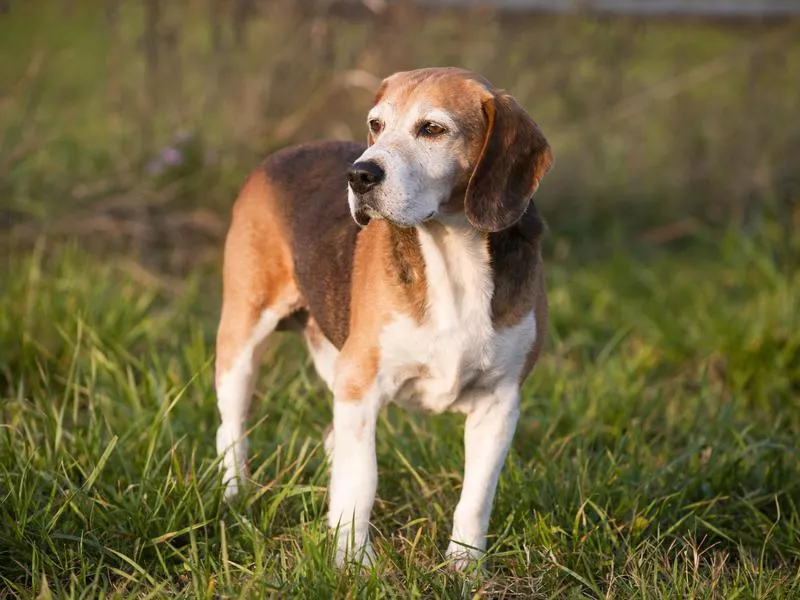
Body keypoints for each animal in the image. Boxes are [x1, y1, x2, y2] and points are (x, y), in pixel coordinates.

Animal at [216, 67, 552, 568]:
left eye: (431, 129)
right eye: (376, 124)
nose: (359, 174)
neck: (452, 256)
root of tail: (282, 154)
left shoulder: (500, 402)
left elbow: (475, 498)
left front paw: (465, 568)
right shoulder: (362, 386)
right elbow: (362, 482)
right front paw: (355, 564)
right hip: (242, 339)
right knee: (233, 429)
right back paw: (235, 497)